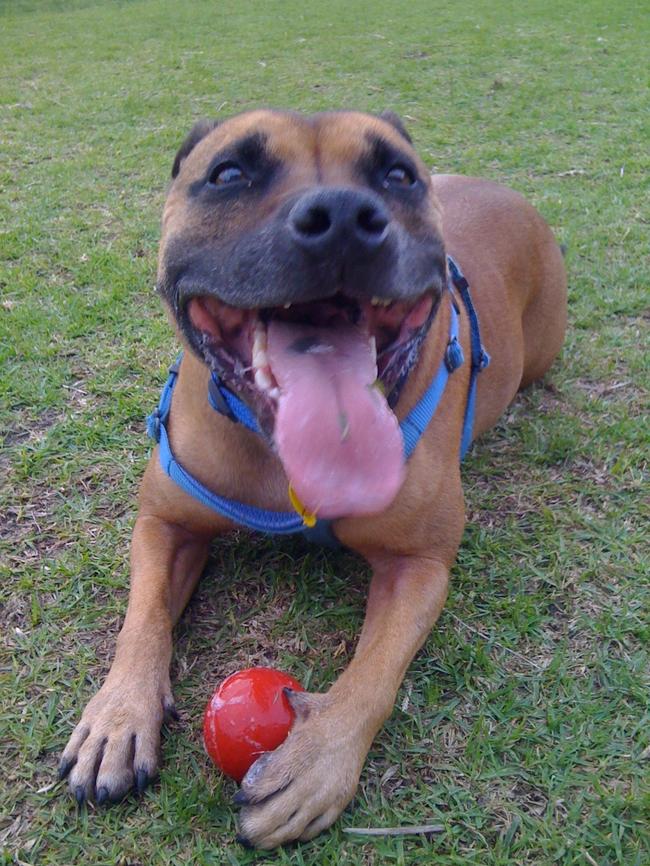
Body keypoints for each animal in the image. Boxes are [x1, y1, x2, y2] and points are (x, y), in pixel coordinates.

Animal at [58, 108, 564, 844]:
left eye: (397, 175)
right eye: (229, 173)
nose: (344, 216)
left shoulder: (419, 565)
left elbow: (375, 669)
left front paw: (317, 761)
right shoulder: (165, 522)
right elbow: (142, 619)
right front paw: (118, 716)